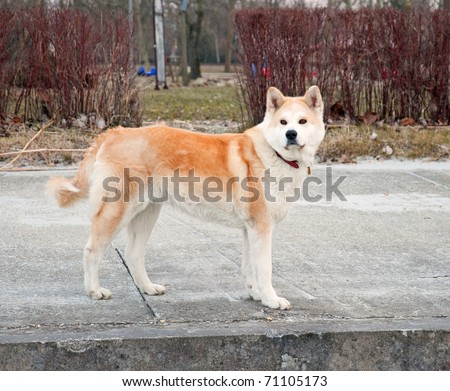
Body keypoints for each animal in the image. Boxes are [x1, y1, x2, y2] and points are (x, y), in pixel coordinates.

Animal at [47, 86, 326, 310]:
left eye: (302, 121)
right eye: (283, 122)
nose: (291, 134)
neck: (273, 153)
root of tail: (113, 133)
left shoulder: (251, 229)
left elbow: (250, 267)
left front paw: (256, 295)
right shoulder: (261, 228)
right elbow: (265, 269)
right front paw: (271, 300)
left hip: (146, 213)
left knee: (133, 255)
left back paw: (148, 288)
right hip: (116, 212)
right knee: (92, 250)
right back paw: (94, 291)